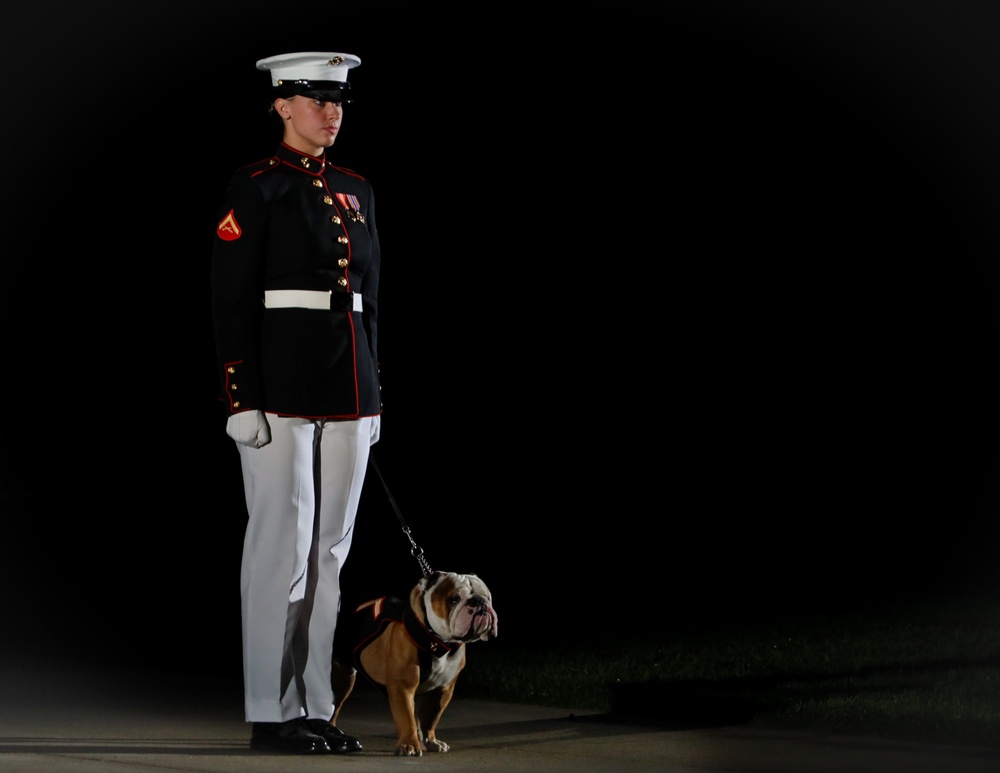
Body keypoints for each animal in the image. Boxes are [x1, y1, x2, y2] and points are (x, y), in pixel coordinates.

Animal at [330, 568, 498, 752]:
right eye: (454, 599)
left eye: (487, 597)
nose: (479, 601)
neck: (438, 641)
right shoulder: (402, 686)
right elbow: (407, 718)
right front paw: (409, 744)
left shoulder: (442, 690)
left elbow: (430, 718)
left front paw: (431, 741)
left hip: (344, 679)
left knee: (335, 706)